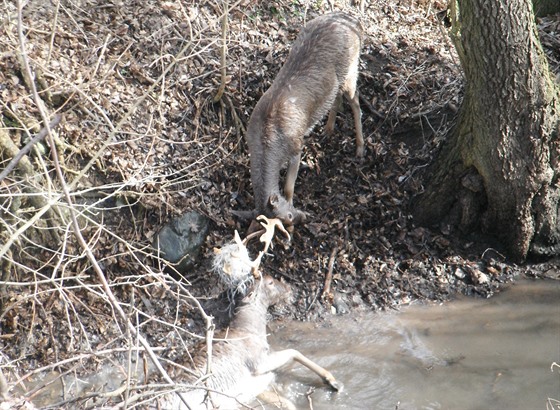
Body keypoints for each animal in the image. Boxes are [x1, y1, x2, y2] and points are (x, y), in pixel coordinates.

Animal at [158, 274, 342, 408]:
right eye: (270, 282)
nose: (289, 288)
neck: (250, 330)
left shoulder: (255, 386)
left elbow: (288, 404)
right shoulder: (258, 362)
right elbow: (293, 351)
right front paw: (332, 381)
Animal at [240, 12, 364, 227]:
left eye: (288, 217)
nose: (303, 217)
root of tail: (354, 22)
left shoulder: (296, 145)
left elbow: (289, 187)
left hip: (351, 68)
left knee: (355, 100)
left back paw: (360, 148)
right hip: (339, 80)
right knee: (337, 97)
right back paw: (328, 130)